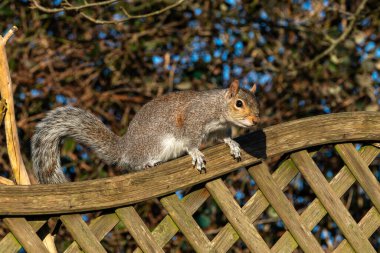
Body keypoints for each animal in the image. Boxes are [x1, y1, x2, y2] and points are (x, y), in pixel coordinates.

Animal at [31, 80, 258, 184]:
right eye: (239, 103)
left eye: (256, 102)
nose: (256, 119)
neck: (218, 109)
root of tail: (125, 147)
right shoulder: (193, 119)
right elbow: (190, 140)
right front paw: (196, 153)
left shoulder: (219, 128)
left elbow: (223, 137)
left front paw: (232, 144)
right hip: (156, 143)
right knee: (131, 164)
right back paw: (147, 163)